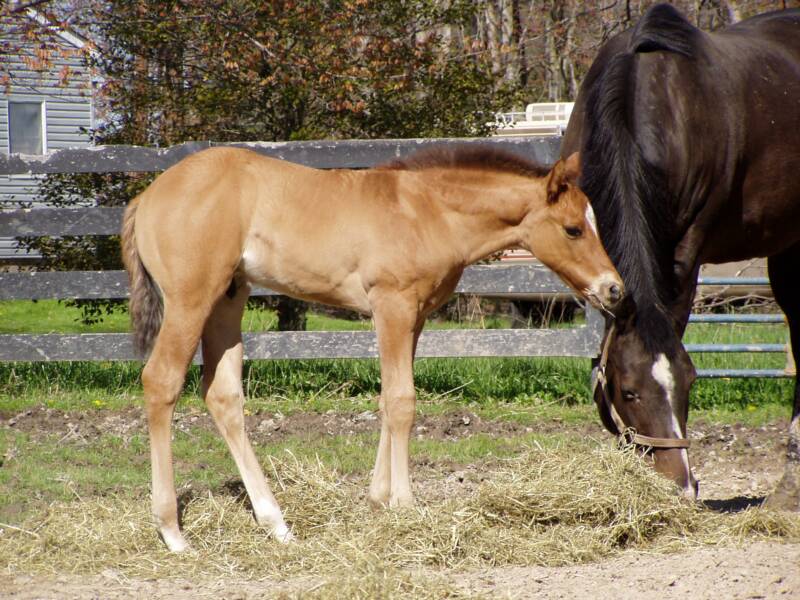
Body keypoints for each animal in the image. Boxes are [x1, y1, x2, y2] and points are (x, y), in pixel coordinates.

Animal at [122, 144, 620, 548]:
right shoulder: (392, 305)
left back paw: (275, 523)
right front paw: (405, 503)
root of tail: (147, 197)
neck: (429, 212)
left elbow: (388, 399)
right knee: (161, 381)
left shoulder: (414, 316)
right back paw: (172, 531)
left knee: (222, 395)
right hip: (191, 300)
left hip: (228, 299)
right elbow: (402, 401)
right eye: (573, 229)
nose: (614, 289)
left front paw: (378, 499)